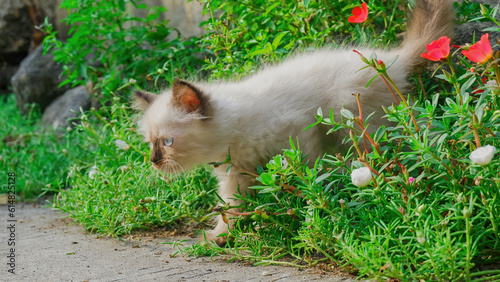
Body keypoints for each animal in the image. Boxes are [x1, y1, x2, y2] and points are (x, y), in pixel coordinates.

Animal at [133, 0, 454, 246]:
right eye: (150, 143)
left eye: (168, 142)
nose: (154, 161)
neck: (231, 135)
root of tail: (388, 59)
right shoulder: (236, 175)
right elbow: (230, 209)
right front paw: (221, 237)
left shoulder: (298, 134)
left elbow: (309, 173)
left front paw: (313, 206)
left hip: (354, 122)